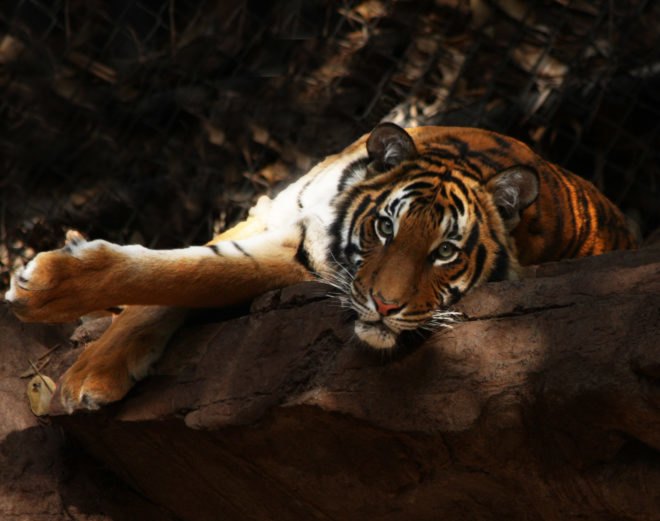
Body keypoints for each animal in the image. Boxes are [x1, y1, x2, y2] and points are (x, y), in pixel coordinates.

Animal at [5, 123, 637, 412]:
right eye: (385, 228)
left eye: (445, 252)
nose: (384, 306)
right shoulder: (277, 214)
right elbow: (181, 274)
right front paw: (88, 363)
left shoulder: (305, 265)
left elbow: (202, 274)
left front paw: (50, 294)